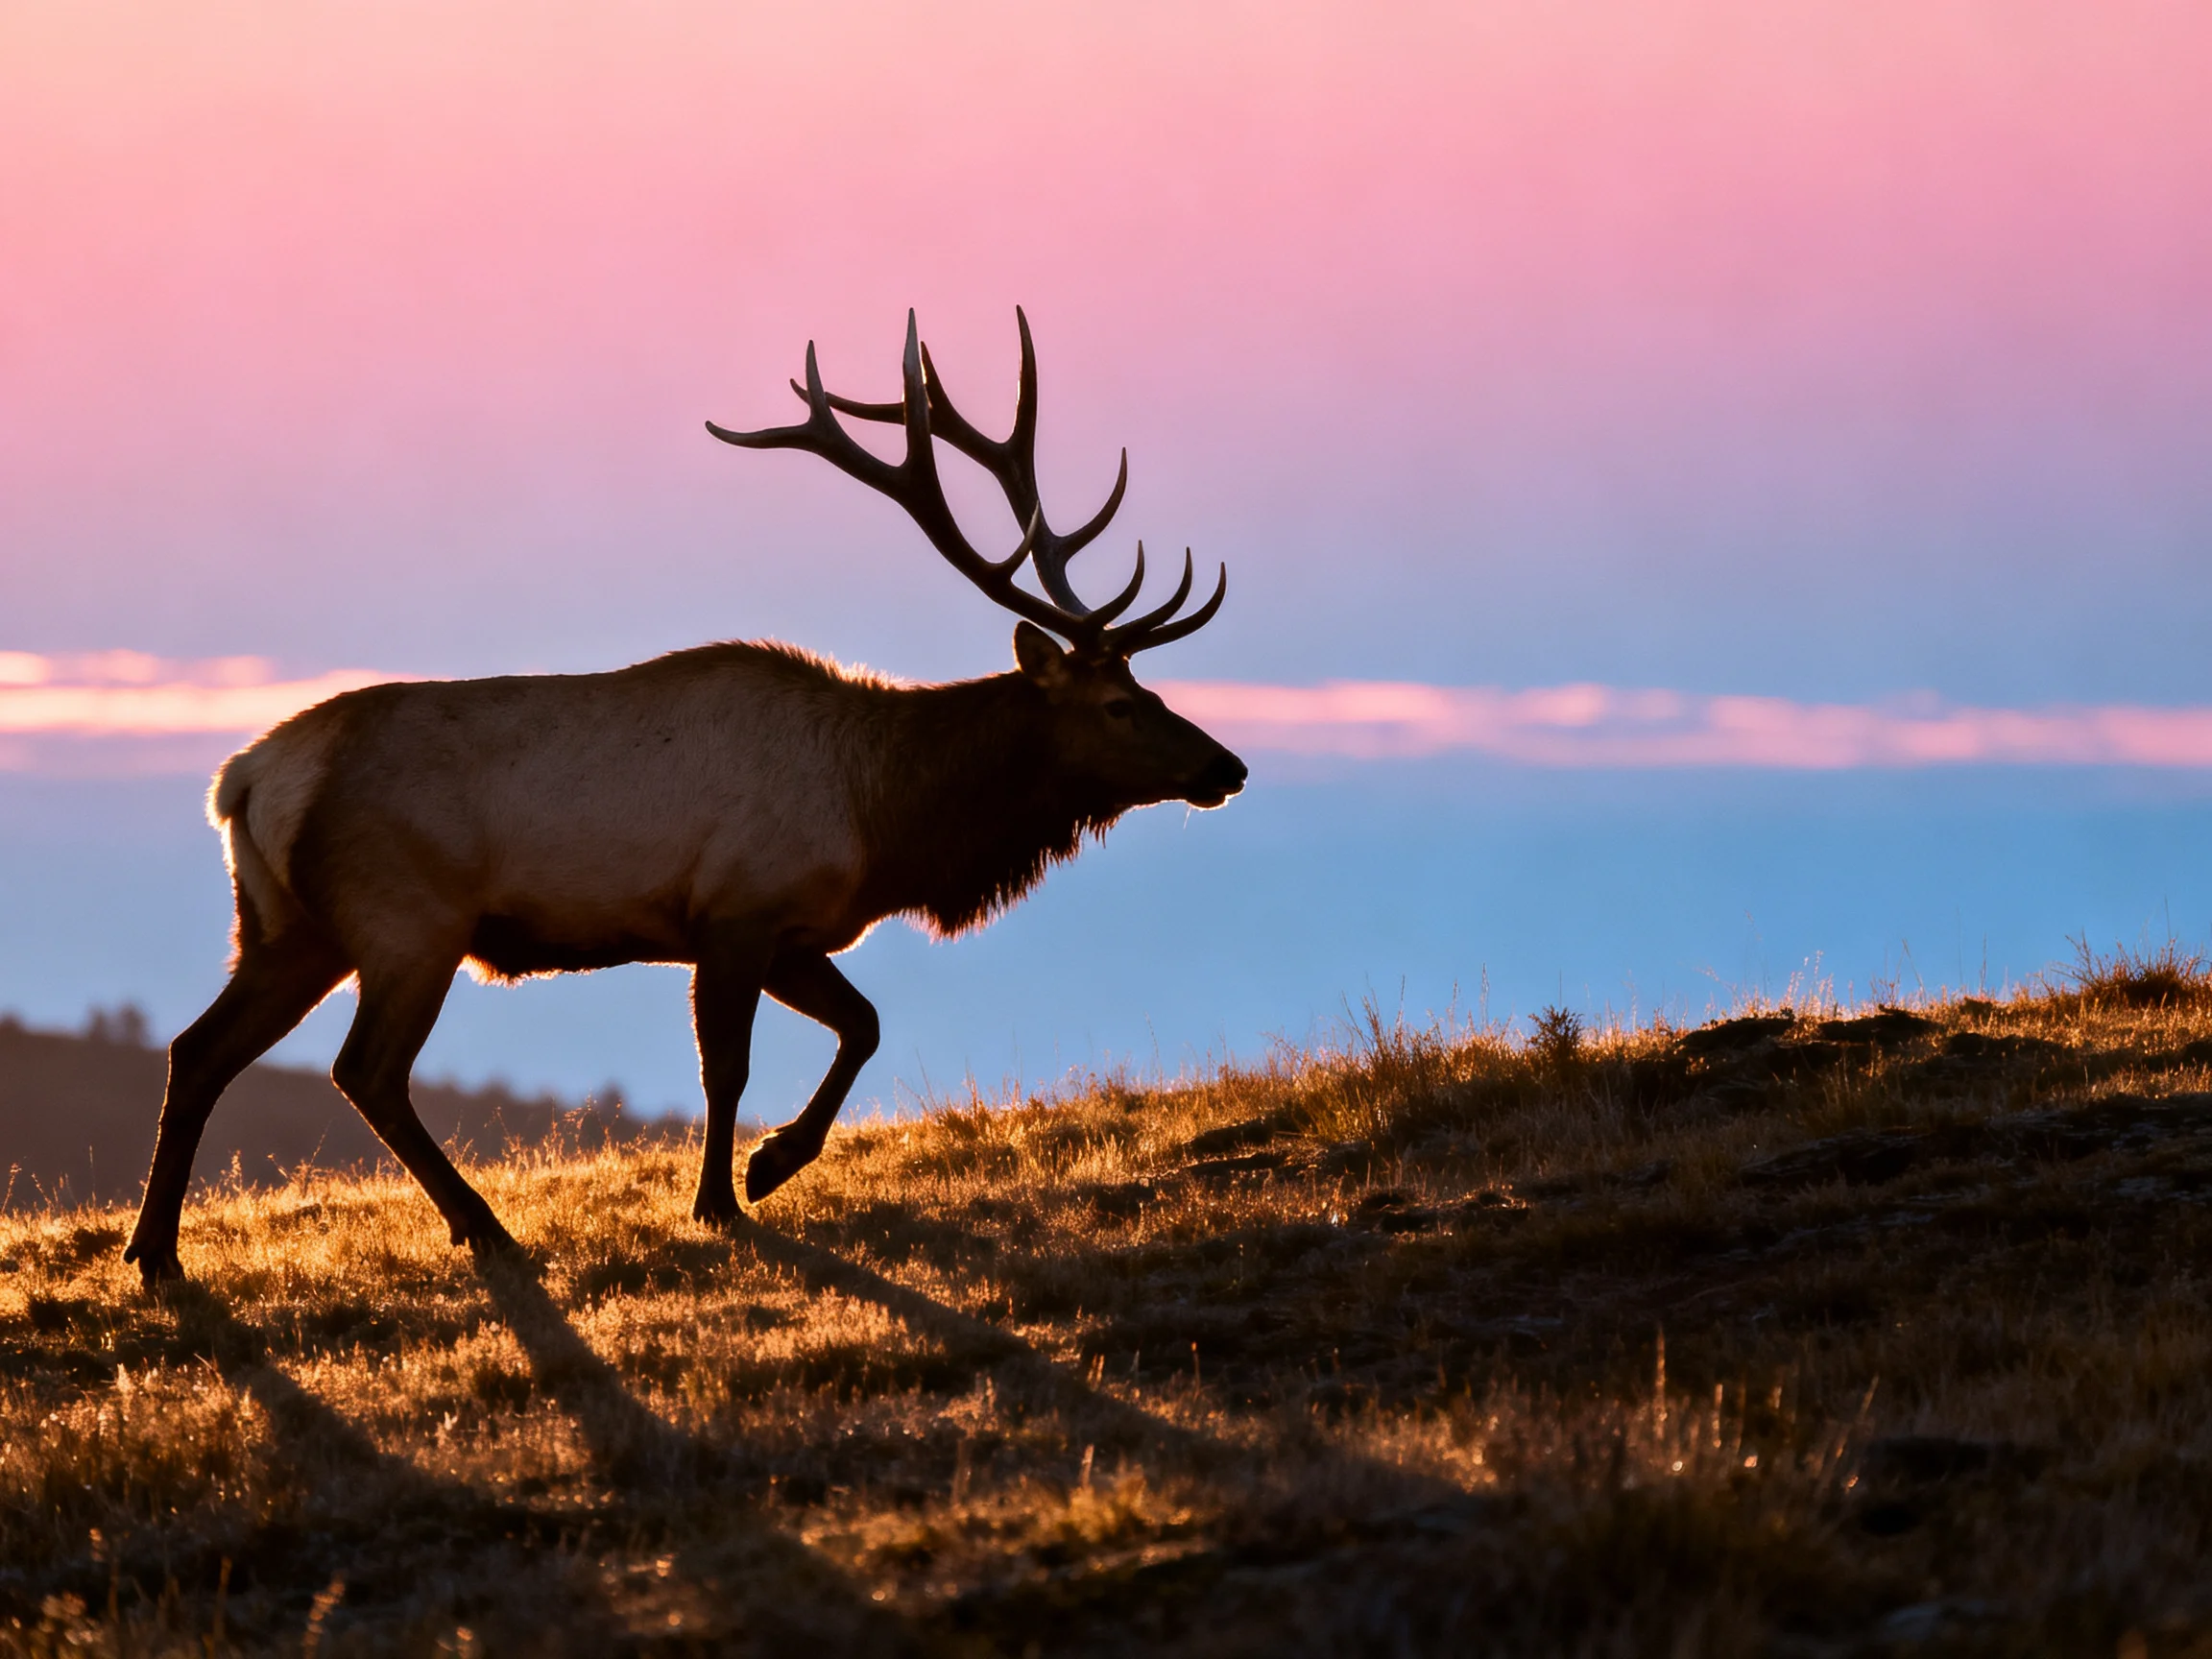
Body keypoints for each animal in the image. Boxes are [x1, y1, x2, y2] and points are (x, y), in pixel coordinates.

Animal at [123, 310, 1247, 1288]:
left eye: (1148, 687)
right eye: (1117, 703)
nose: (1225, 769)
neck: (881, 817)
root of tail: (246, 778)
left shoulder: (792, 929)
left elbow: (865, 1024)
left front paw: (773, 1164)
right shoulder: (736, 910)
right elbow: (729, 1068)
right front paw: (723, 1197)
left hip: (286, 928)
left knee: (198, 1048)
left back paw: (157, 1251)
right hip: (409, 920)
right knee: (365, 1070)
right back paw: (482, 1226)